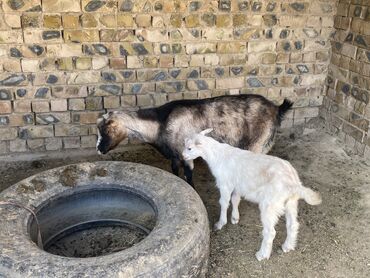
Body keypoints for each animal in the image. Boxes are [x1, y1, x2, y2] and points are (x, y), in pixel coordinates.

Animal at [97, 94, 294, 187]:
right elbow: (175, 172)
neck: (160, 122)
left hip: (257, 143)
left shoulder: (187, 155)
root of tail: (276, 108)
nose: (99, 150)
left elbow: (189, 177)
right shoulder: (175, 156)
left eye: (105, 129)